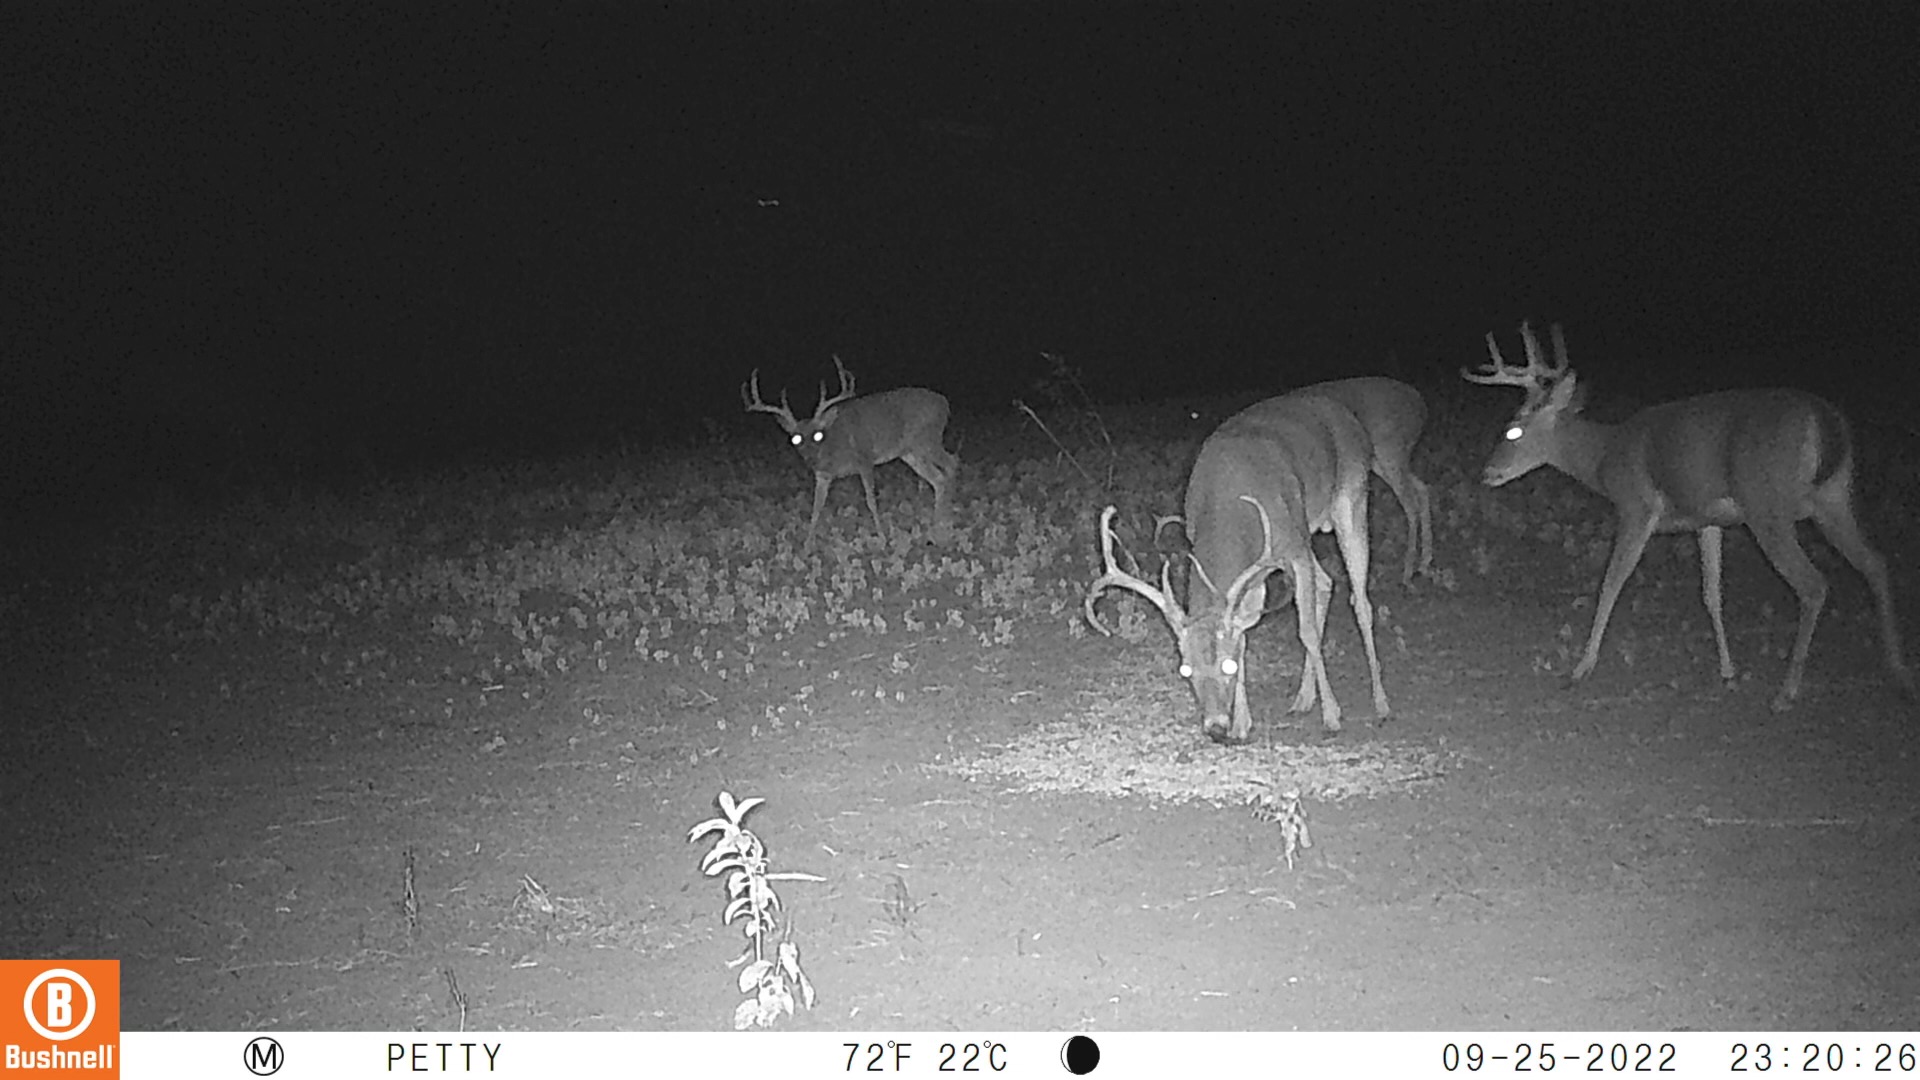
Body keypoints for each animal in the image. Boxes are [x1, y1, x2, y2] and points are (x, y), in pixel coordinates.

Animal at [742, 356, 958, 549]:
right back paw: (939, 524)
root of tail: (945, 403)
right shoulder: (823, 474)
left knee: (951, 464)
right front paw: (807, 546)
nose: (811, 458)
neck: (833, 449)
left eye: (818, 435)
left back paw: (944, 525)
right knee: (938, 478)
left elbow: (871, 500)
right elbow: (817, 506)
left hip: (927, 440)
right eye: (795, 438)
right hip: (911, 453)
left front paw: (882, 538)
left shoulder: (865, 459)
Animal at [1085, 391, 1393, 742]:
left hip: (1350, 500)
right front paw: (1242, 724)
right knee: (1327, 583)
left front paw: (1332, 716)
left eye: (1227, 666)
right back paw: (1302, 700)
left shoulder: (1293, 546)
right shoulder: (1253, 572)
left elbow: (1307, 633)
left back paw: (1381, 704)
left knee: (1361, 601)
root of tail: (1346, 414)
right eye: (1185, 670)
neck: (1229, 508)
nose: (1215, 727)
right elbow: (1245, 635)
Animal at [1462, 320, 1914, 711]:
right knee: (1876, 563)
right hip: (1834, 496)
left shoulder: (1636, 505)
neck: (1605, 459)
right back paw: (1899, 671)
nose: (1487, 472)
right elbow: (1711, 593)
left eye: (1513, 430)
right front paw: (1728, 671)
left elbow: (1611, 581)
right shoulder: (1707, 519)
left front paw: (1580, 668)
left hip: (1767, 502)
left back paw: (1787, 692)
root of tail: (1825, 421)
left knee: (1814, 584)